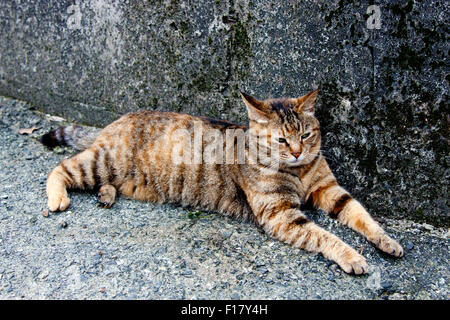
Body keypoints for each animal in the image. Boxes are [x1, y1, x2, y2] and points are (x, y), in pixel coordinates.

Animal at [40, 90, 402, 276]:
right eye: (282, 140)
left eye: (306, 135)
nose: (298, 152)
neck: (298, 172)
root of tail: (113, 122)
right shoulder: (282, 214)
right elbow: (325, 236)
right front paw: (352, 256)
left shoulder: (330, 190)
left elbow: (362, 216)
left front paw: (386, 241)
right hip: (101, 162)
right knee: (60, 168)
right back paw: (57, 198)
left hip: (113, 172)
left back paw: (106, 195)